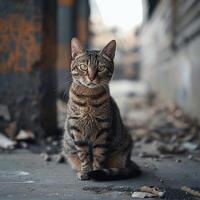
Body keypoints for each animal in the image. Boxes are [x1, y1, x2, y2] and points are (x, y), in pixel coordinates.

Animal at [63, 38, 141, 181]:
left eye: (100, 68)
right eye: (83, 67)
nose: (91, 77)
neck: (88, 97)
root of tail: (129, 160)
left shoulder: (103, 130)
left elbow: (99, 155)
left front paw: (96, 171)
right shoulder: (77, 130)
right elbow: (84, 155)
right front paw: (85, 171)